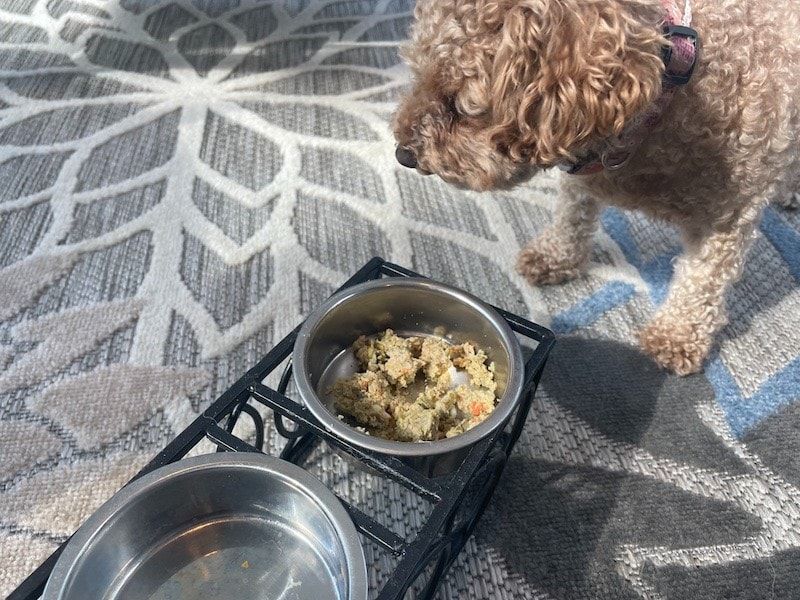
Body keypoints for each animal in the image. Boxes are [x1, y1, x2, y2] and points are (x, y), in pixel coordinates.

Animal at [394, 0, 800, 376]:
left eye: (460, 105)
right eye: (416, 71)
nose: (402, 154)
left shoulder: (730, 210)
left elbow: (703, 279)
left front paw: (677, 335)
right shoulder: (585, 174)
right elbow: (572, 214)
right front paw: (555, 256)